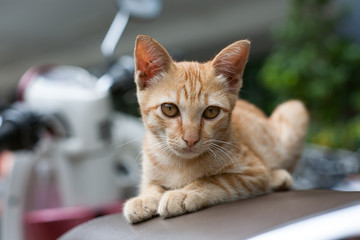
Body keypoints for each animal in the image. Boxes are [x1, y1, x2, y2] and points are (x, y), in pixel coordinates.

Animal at [122, 34, 308, 224]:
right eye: (169, 109)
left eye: (211, 112)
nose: (191, 139)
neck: (179, 163)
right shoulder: (148, 174)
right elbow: (151, 185)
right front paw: (144, 198)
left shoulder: (254, 173)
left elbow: (213, 180)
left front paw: (182, 194)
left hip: (293, 111)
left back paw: (278, 177)